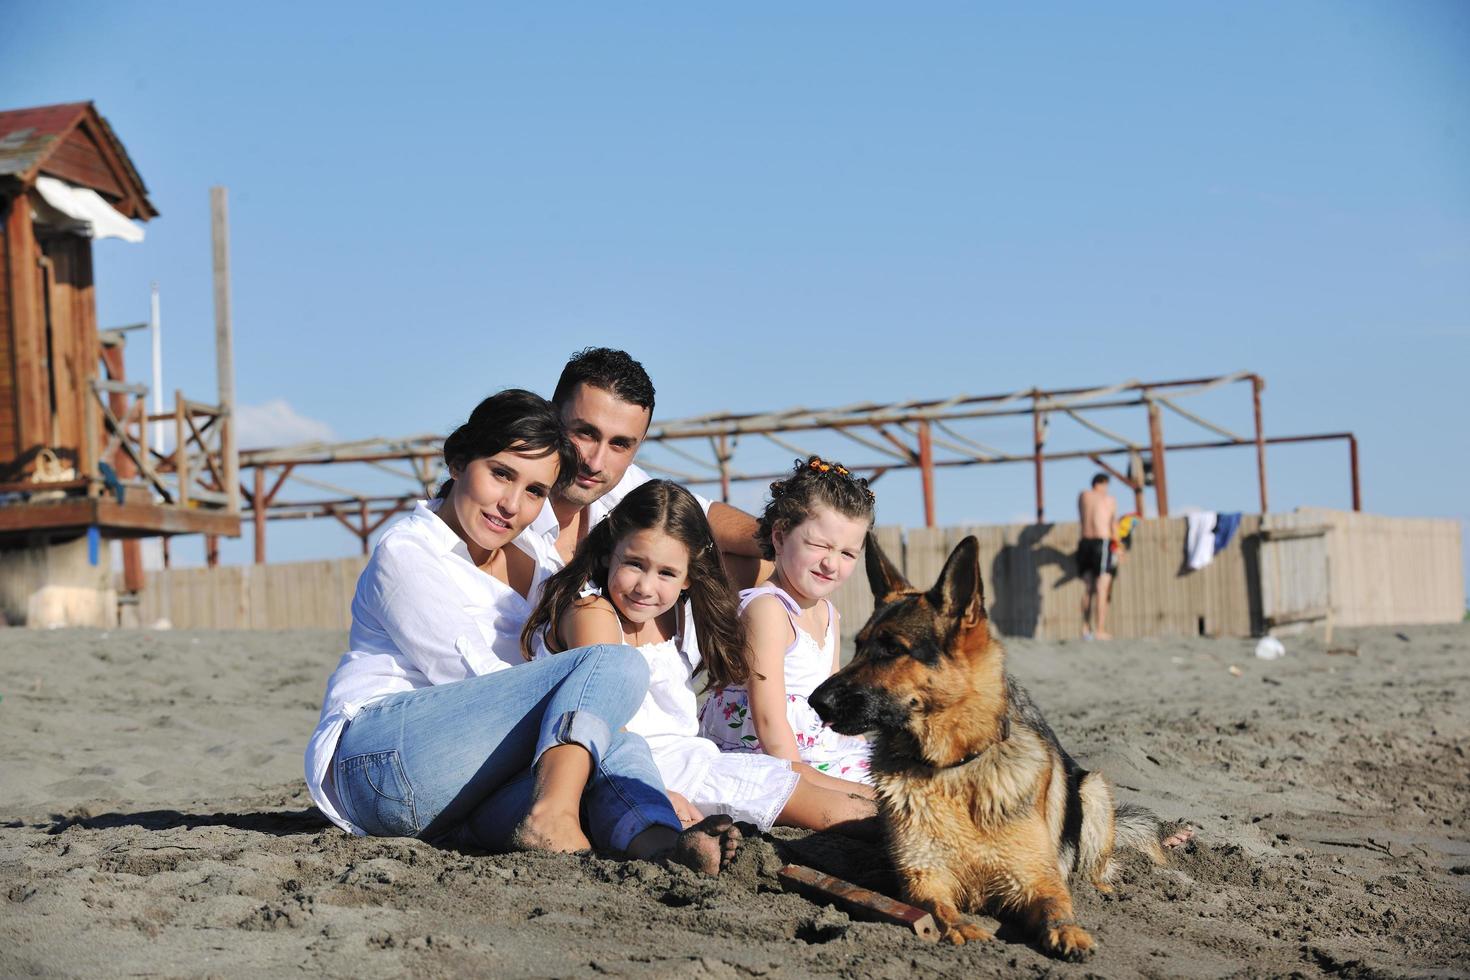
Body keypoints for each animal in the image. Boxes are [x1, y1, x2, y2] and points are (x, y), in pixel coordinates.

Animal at [811, 537, 1176, 957]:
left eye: (891, 649)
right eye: (857, 646)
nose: (814, 701)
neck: (952, 769)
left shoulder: (1036, 879)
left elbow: (1058, 905)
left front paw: (1069, 931)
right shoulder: (924, 877)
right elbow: (939, 909)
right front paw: (962, 928)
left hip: (1094, 789)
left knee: (1097, 864)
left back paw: (1102, 886)